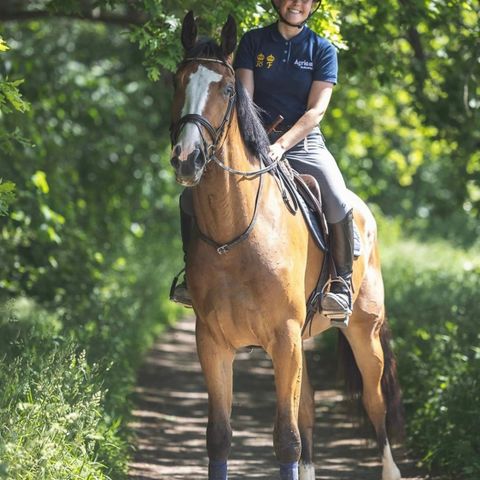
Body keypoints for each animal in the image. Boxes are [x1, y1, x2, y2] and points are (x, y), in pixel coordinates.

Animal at [171, 11, 404, 480]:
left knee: (375, 404)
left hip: (362, 332)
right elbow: (220, 436)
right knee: (308, 408)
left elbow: (286, 439)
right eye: (177, 82)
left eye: (227, 90)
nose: (187, 158)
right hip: (305, 339)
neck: (235, 234)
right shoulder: (213, 341)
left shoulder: (283, 338)